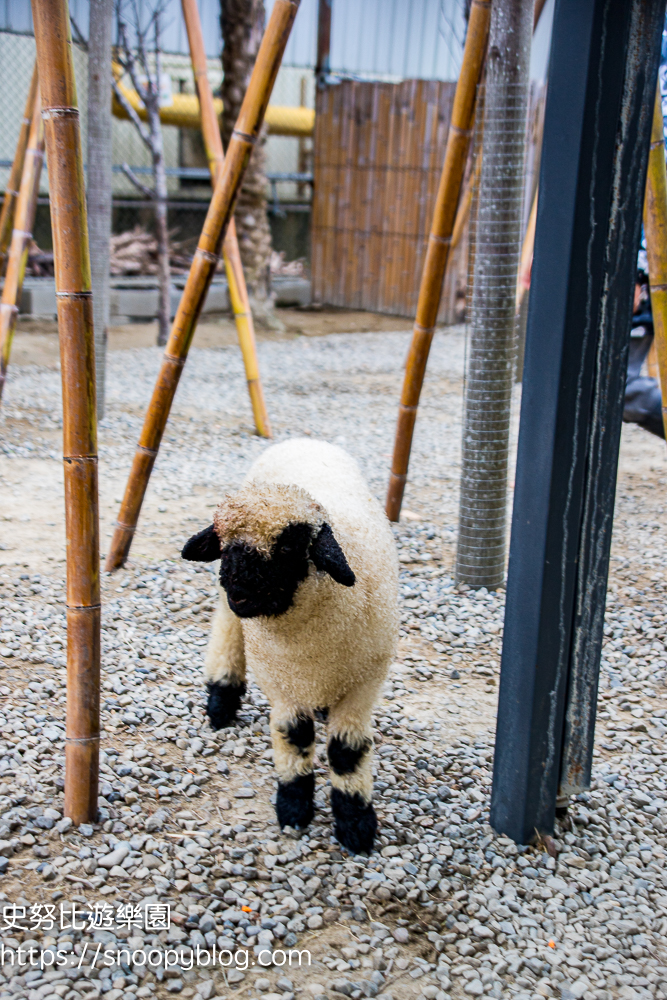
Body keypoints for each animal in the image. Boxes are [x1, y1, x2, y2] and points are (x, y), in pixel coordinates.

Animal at [180, 438, 400, 852]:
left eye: (287, 548)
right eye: (225, 544)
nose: (239, 586)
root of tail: (303, 440)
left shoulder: (364, 684)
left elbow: (347, 752)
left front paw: (356, 823)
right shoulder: (281, 683)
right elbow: (293, 736)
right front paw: (294, 808)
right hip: (230, 616)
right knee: (225, 634)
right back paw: (220, 701)